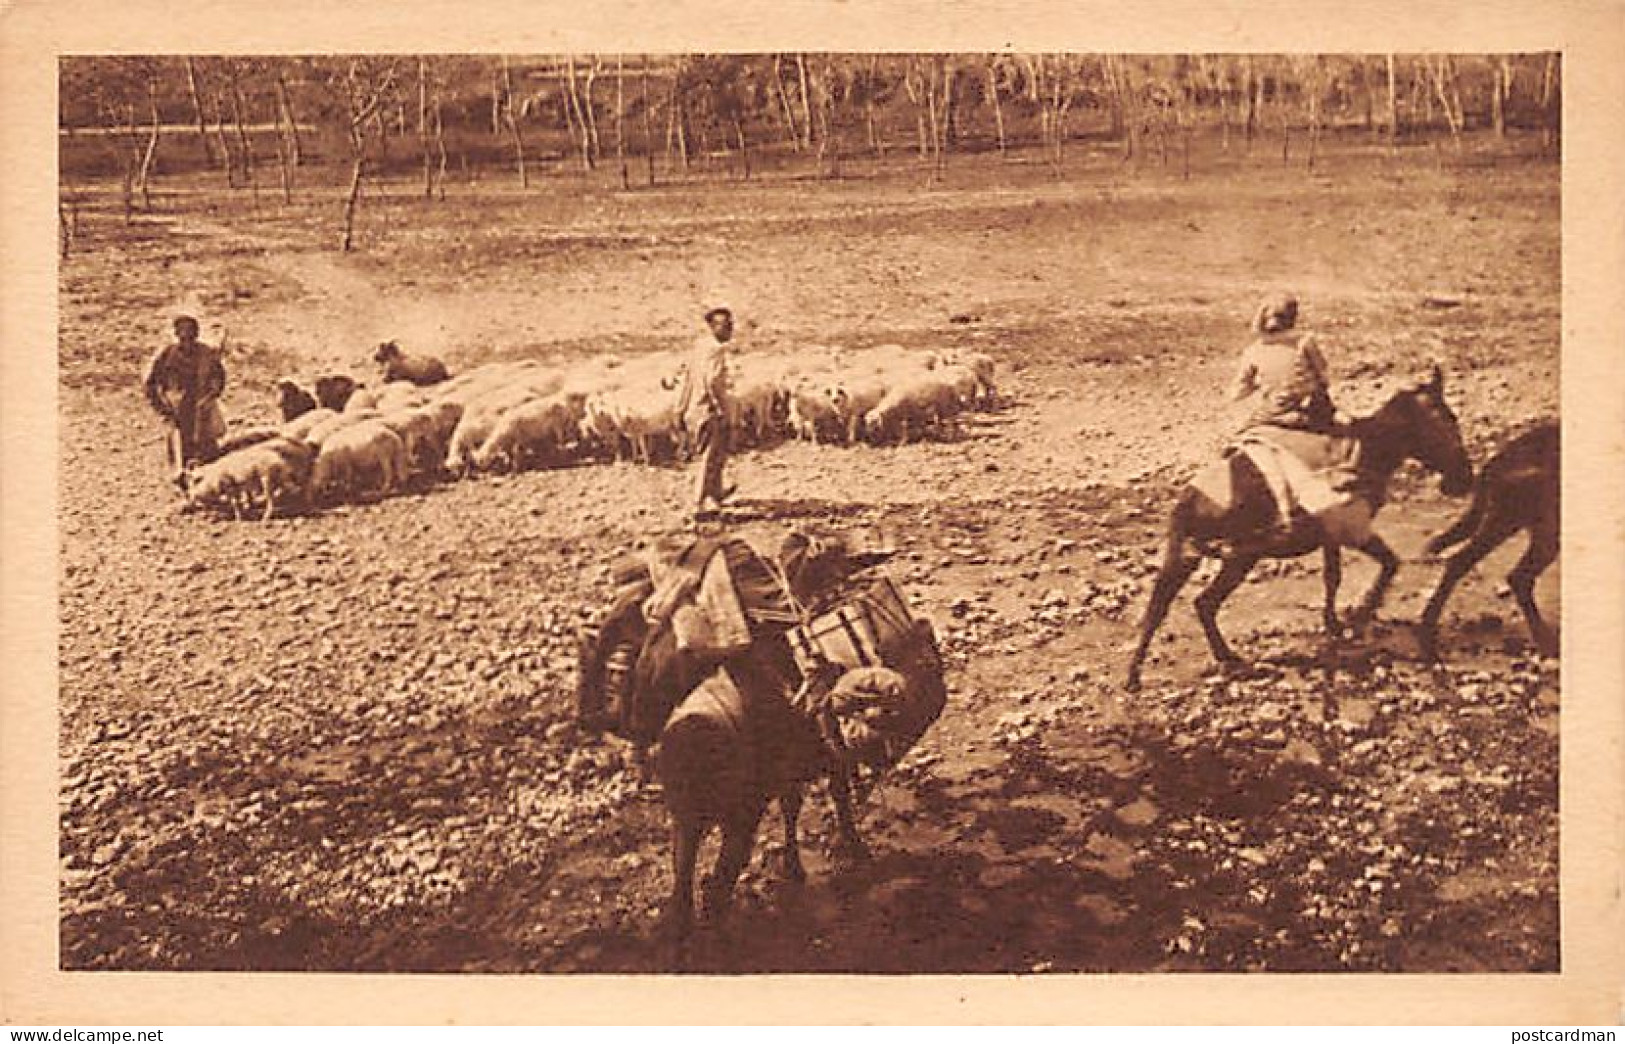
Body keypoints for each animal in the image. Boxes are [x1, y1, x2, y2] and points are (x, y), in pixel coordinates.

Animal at [1131, 365, 1475, 689]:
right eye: (1449, 419)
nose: (1465, 479)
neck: (1365, 451)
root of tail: (1191, 496)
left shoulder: (1331, 536)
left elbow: (1333, 578)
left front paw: (1336, 623)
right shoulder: (1354, 530)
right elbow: (1389, 564)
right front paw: (1360, 615)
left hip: (1196, 556)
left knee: (1172, 607)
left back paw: (1154, 670)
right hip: (1236, 558)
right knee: (1189, 605)